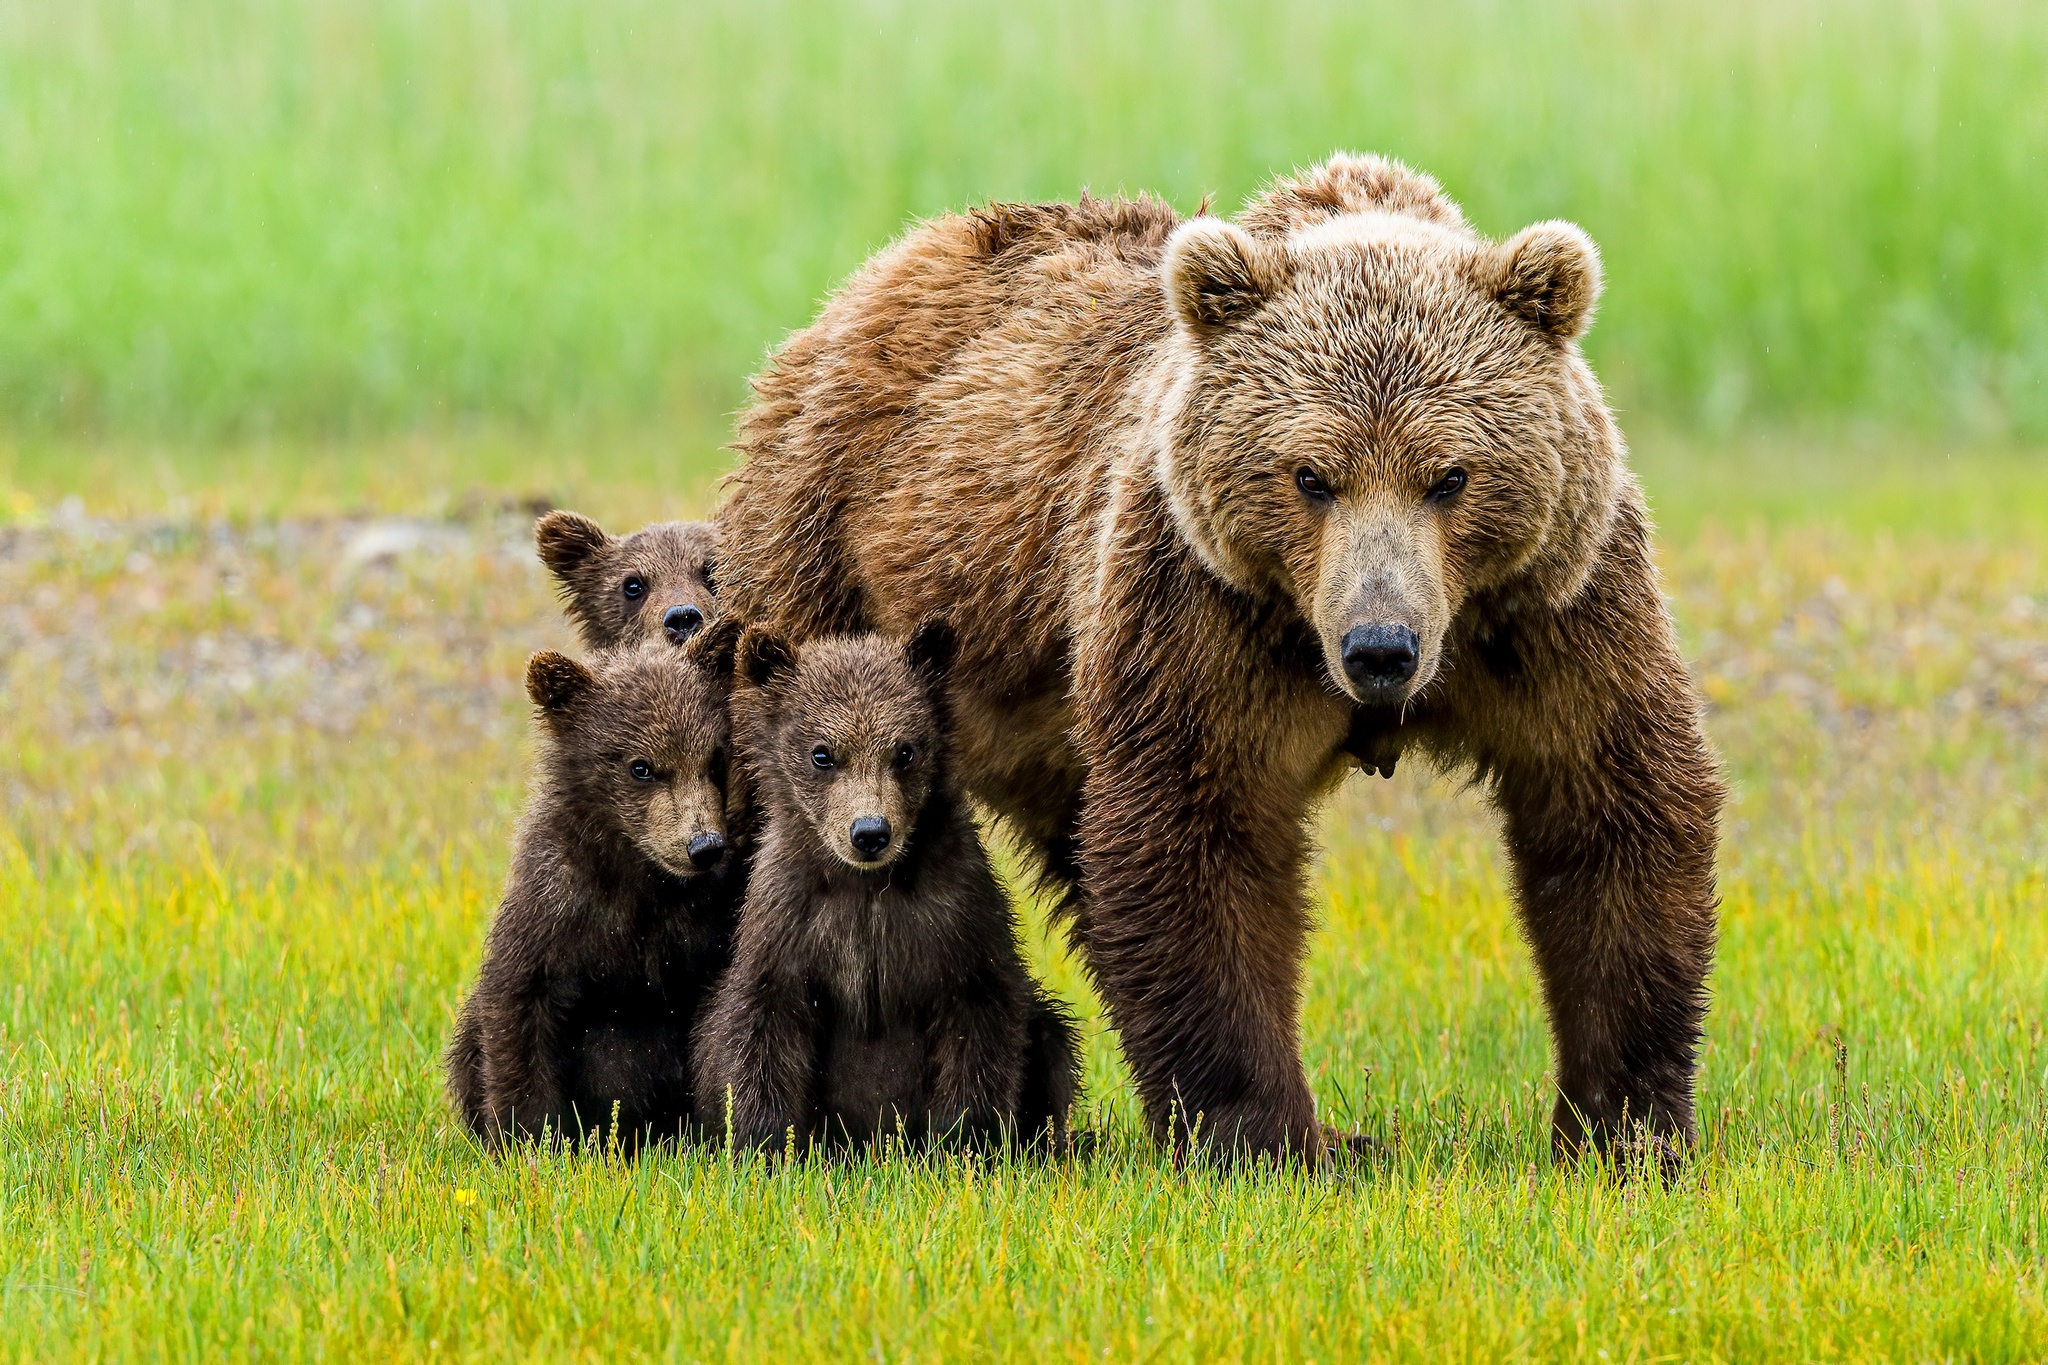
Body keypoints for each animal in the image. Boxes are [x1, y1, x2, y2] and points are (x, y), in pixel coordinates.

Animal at [448, 630, 745, 1154]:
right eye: (641, 767)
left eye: (715, 757)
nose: (703, 846)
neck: (637, 876)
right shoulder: (555, 911)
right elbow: (518, 1015)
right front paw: (526, 1138)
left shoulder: (704, 923)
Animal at [692, 622, 1081, 1154]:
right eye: (822, 753)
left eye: (904, 750)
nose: (871, 832)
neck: (868, 889)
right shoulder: (791, 924)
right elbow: (762, 1032)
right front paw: (767, 1144)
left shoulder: (958, 920)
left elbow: (979, 1028)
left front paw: (965, 1139)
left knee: (1051, 1041)